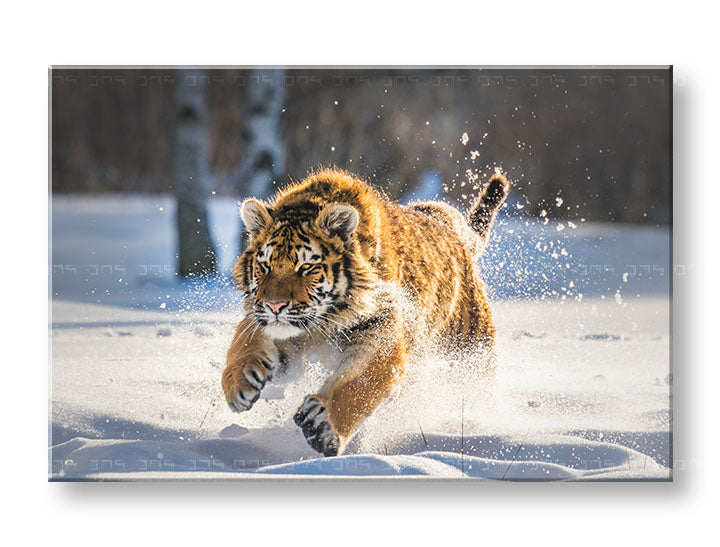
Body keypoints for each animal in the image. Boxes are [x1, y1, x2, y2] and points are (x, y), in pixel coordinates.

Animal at [222, 167, 509, 456]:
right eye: (265, 265)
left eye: (306, 267)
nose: (275, 306)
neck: (321, 323)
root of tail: (453, 229)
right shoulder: (271, 323)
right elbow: (245, 341)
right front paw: (238, 383)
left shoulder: (381, 334)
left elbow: (358, 383)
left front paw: (322, 425)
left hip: (470, 352)